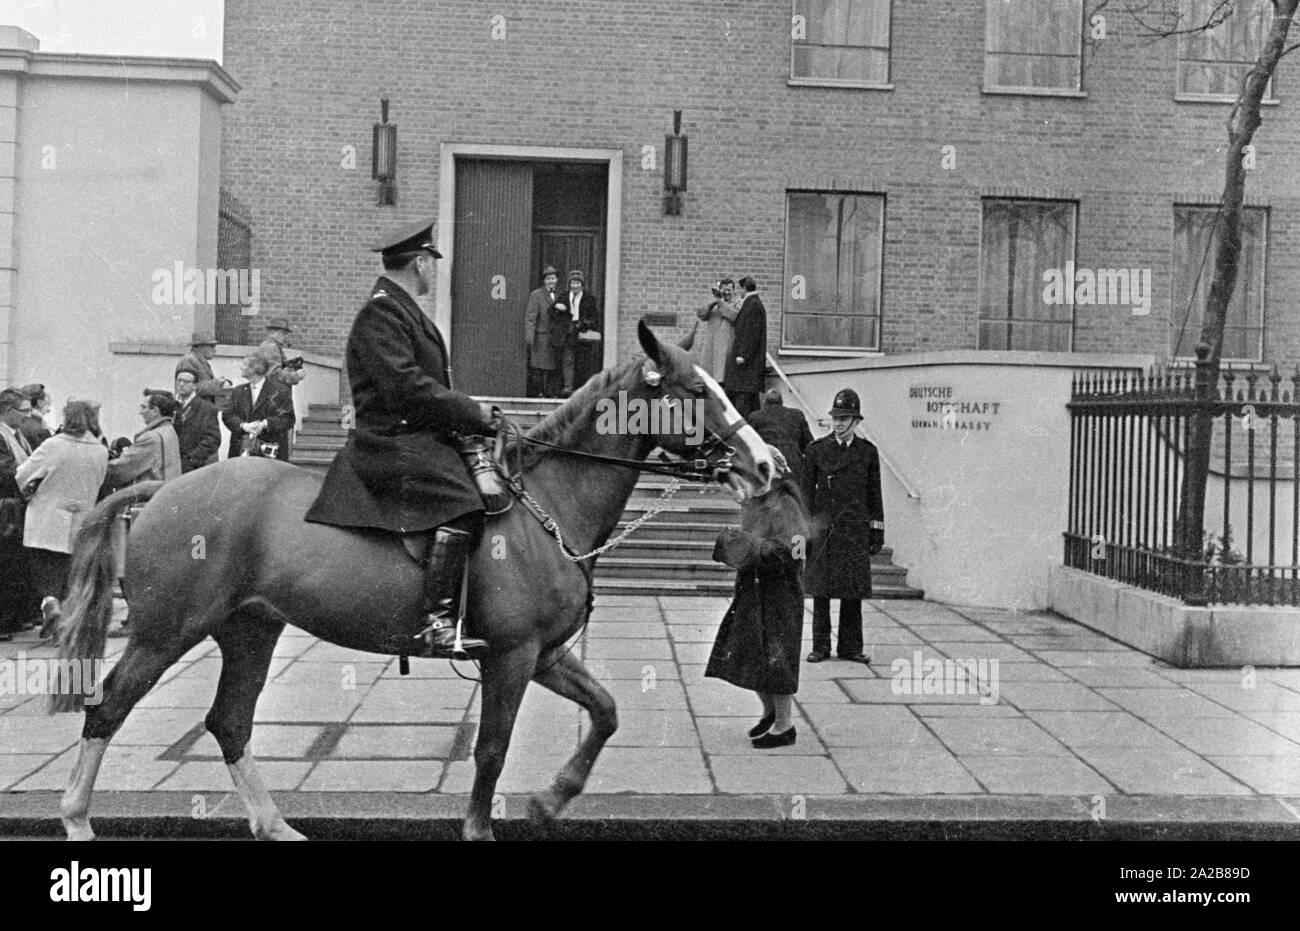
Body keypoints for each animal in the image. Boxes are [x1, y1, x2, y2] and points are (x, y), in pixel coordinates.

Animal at [53, 323, 769, 842]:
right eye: (694, 390)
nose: (766, 464)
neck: (546, 504)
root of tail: (164, 488)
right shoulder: (512, 657)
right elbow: (491, 750)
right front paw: (485, 827)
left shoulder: (543, 654)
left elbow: (605, 711)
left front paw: (550, 800)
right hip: (165, 631)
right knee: (108, 707)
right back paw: (78, 821)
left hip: (249, 629)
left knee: (229, 722)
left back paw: (275, 825)